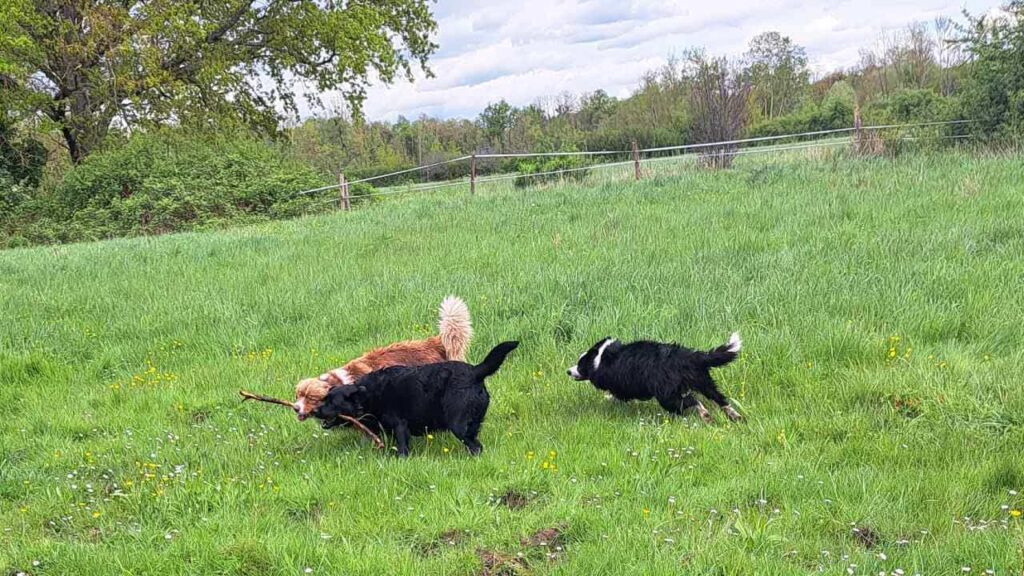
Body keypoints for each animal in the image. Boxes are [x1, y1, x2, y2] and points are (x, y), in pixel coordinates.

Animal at [311, 338, 520, 455]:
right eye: (324, 398)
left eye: (331, 402)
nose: (314, 411)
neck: (368, 395)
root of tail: (475, 372)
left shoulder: (400, 425)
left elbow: (402, 448)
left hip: (459, 424)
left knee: (476, 447)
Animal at [569, 332, 745, 422]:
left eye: (580, 364)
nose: (568, 371)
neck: (600, 359)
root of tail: (687, 356)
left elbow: (616, 395)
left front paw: (608, 399)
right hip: (705, 383)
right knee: (720, 399)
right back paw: (735, 416)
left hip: (667, 396)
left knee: (693, 402)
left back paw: (705, 415)